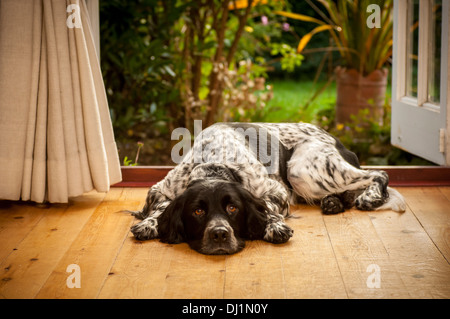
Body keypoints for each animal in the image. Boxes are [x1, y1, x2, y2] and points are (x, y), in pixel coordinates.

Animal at [128, 122, 406, 255]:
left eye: (232, 208)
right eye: (198, 212)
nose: (219, 235)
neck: (214, 160)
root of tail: (339, 142)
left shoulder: (275, 190)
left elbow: (269, 209)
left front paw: (275, 227)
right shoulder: (163, 188)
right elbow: (158, 207)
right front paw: (149, 224)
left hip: (303, 169)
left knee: (379, 174)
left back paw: (370, 197)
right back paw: (332, 202)